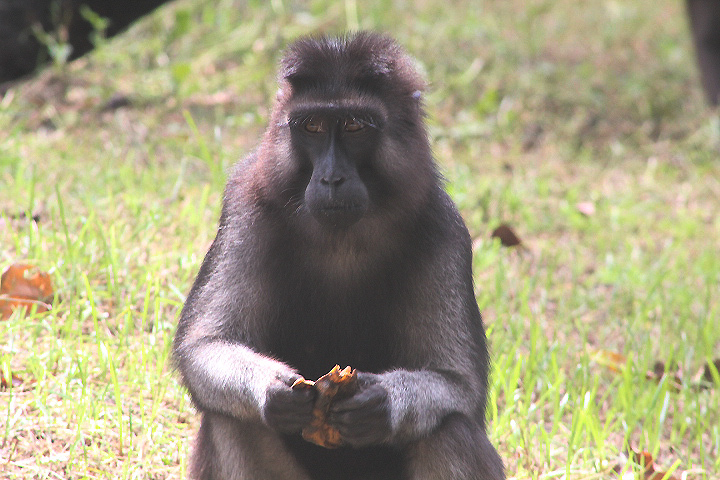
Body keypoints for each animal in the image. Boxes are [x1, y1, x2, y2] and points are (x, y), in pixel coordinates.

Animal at [173, 32, 505, 480]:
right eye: (312, 126)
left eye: (353, 126)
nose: (332, 178)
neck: (342, 237)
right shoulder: (246, 208)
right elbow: (202, 347)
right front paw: (275, 392)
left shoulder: (444, 230)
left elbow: (462, 387)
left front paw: (381, 405)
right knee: (233, 420)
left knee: (449, 430)